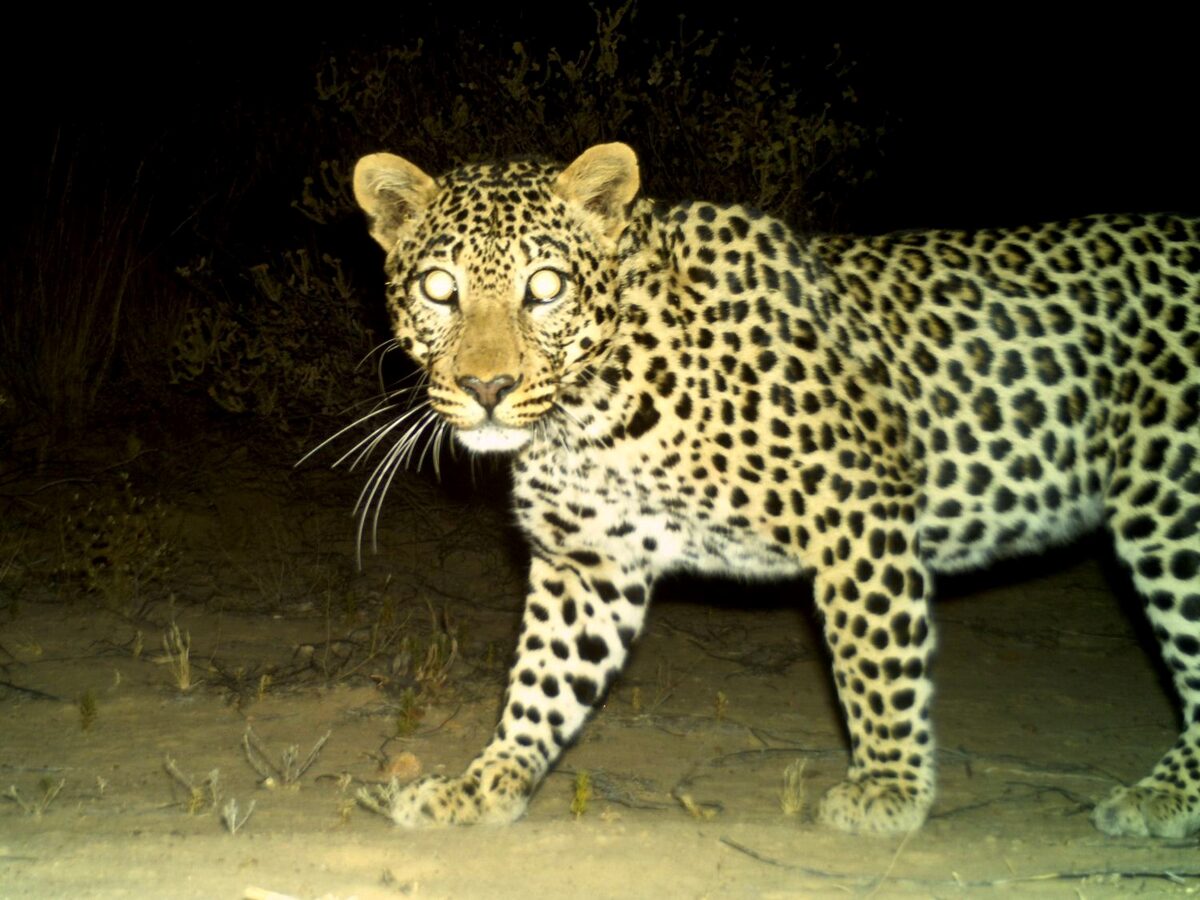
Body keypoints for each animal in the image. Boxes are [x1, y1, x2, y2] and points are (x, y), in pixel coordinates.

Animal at [349, 142, 1200, 837]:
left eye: (546, 286)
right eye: (439, 289)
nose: (487, 387)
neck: (590, 413)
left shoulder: (859, 514)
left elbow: (875, 662)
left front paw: (889, 792)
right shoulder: (590, 564)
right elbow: (543, 681)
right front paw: (484, 785)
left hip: (1169, 502)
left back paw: (1163, 798)